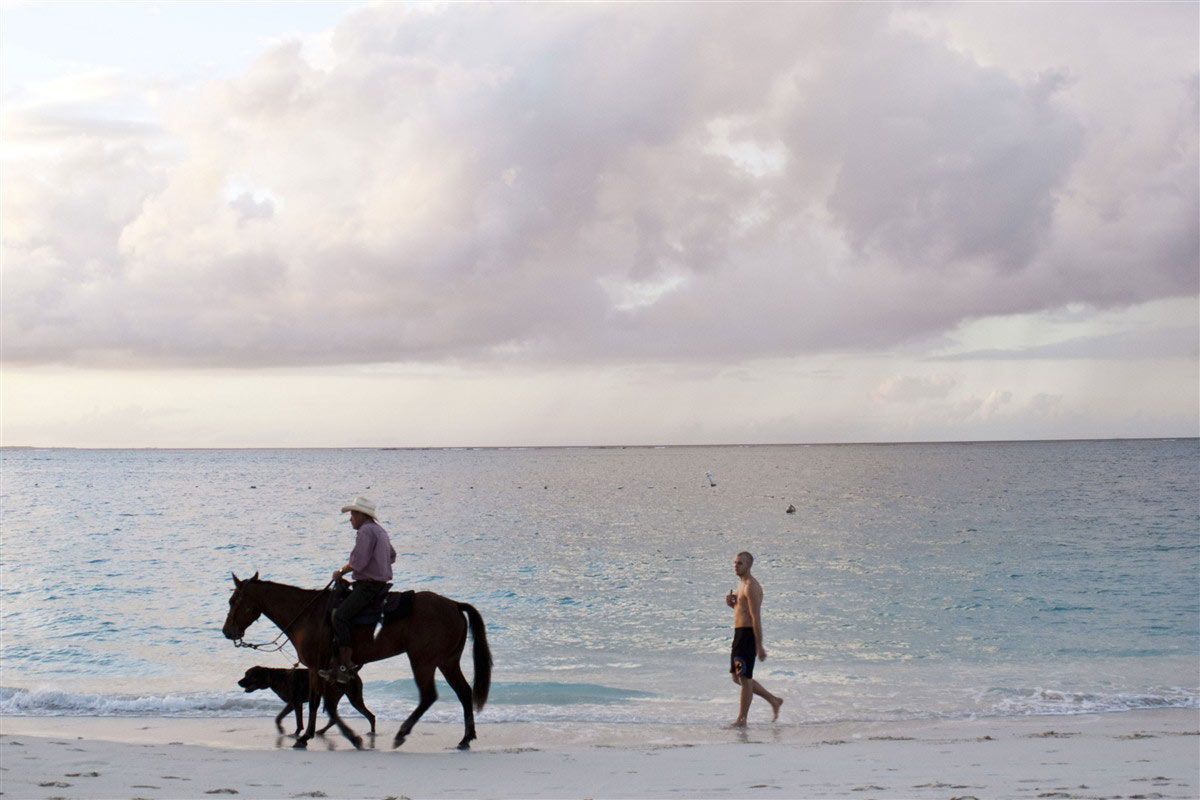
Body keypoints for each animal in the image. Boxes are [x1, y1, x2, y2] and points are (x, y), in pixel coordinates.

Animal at [238, 666, 374, 734]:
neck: (275, 678)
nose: (238, 682)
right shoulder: (291, 703)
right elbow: (279, 717)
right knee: (334, 718)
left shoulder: (296, 703)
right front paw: (281, 729)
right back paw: (322, 731)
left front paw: (296, 732)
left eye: (248, 675)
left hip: (353, 698)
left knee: (370, 716)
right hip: (334, 698)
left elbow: (299, 722)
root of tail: (352, 672)